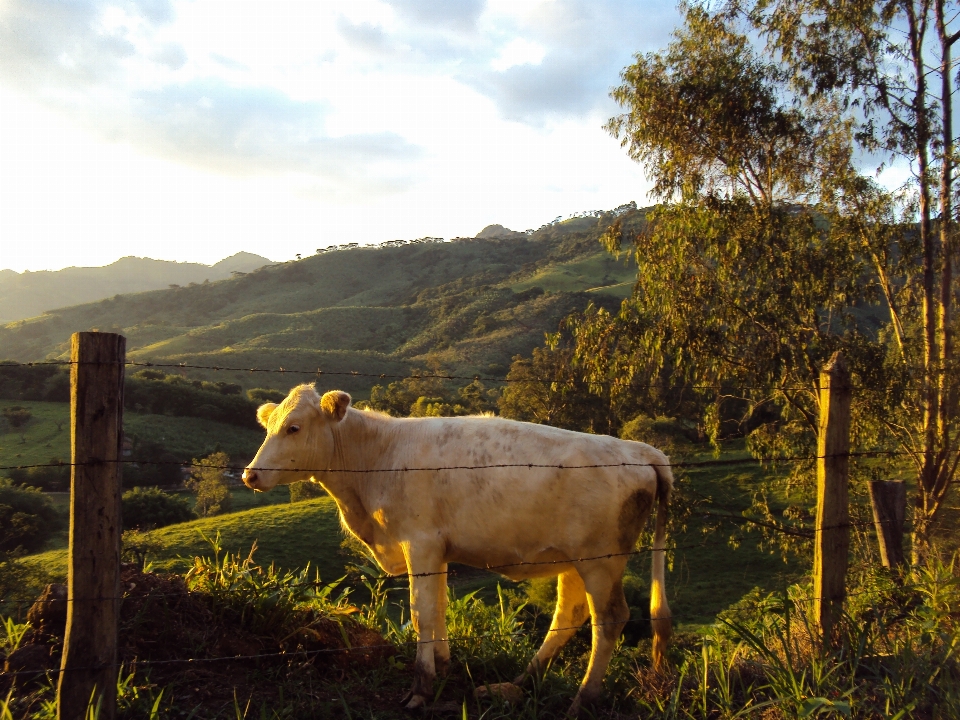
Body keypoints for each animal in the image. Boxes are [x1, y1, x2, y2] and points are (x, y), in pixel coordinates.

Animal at [244, 386, 672, 712]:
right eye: (268, 427)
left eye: (294, 427)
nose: (250, 474)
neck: (378, 458)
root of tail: (640, 450)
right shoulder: (437, 550)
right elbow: (438, 609)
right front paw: (444, 666)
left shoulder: (419, 543)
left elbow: (422, 613)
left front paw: (421, 688)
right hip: (574, 560)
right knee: (569, 614)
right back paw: (521, 682)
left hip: (601, 561)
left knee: (609, 619)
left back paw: (582, 701)